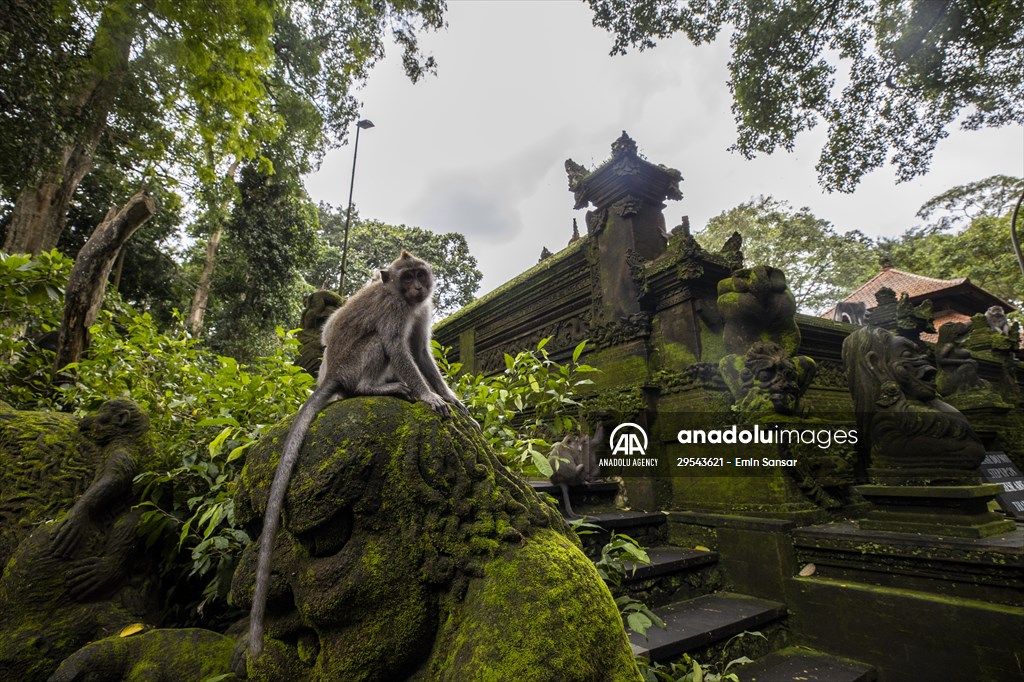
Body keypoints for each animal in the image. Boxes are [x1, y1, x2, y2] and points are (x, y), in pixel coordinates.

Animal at [248, 250, 471, 660]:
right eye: (407, 277)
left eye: (420, 275)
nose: (417, 287)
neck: (404, 300)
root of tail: (333, 375)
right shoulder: (394, 310)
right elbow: (399, 348)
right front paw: (430, 397)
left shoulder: (420, 310)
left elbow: (420, 352)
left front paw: (452, 399)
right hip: (355, 364)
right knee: (377, 346)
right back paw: (376, 387)